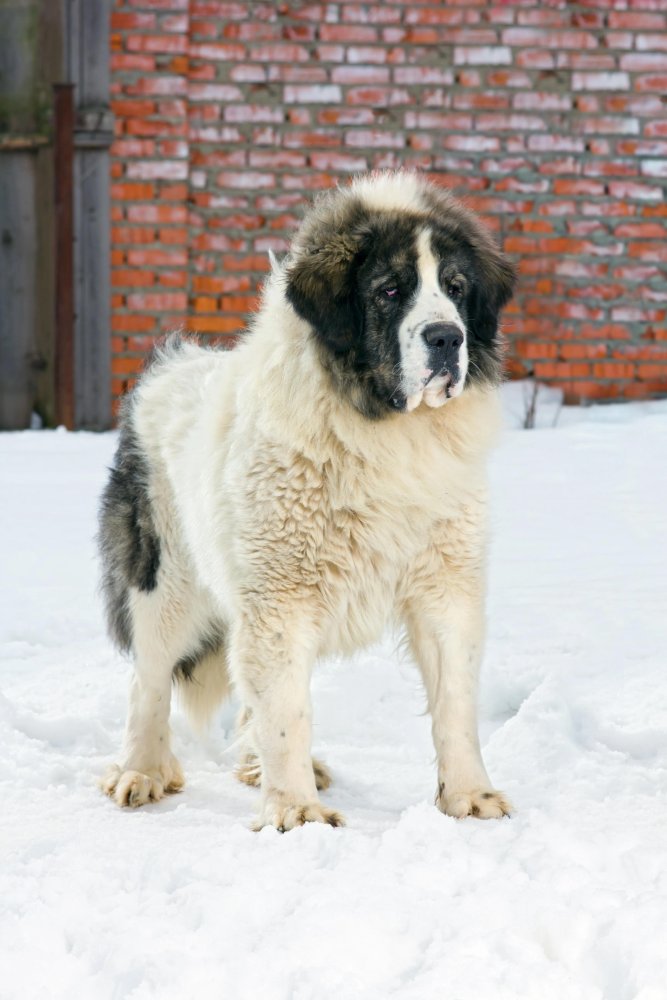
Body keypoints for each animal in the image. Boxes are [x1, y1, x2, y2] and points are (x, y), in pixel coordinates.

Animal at [99, 170, 516, 828]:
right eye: (390, 290)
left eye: (455, 288)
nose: (447, 336)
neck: (383, 433)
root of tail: (168, 369)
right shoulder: (281, 597)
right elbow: (286, 713)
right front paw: (296, 814)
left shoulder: (445, 586)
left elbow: (455, 704)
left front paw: (469, 797)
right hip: (164, 581)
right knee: (150, 679)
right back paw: (140, 772)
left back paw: (251, 767)